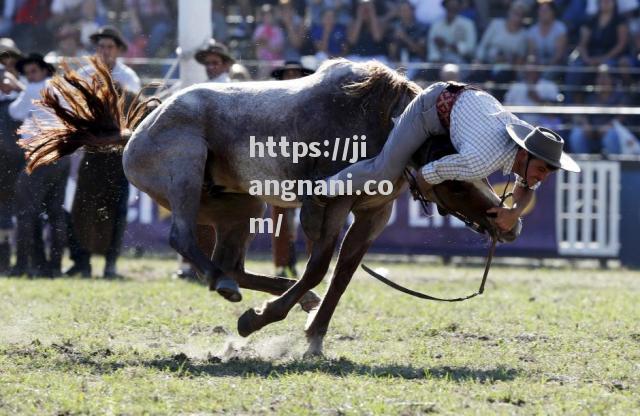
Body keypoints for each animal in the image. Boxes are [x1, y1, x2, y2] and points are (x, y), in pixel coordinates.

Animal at [21, 57, 520, 356]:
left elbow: (341, 274)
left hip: (238, 206)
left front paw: (314, 335)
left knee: (231, 263)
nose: (508, 226)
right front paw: (260, 321)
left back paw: (247, 289)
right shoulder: (325, 205)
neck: (381, 127)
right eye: (456, 181)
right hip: (184, 173)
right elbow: (318, 267)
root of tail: (135, 132)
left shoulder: (372, 215)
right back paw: (233, 292)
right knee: (184, 239)